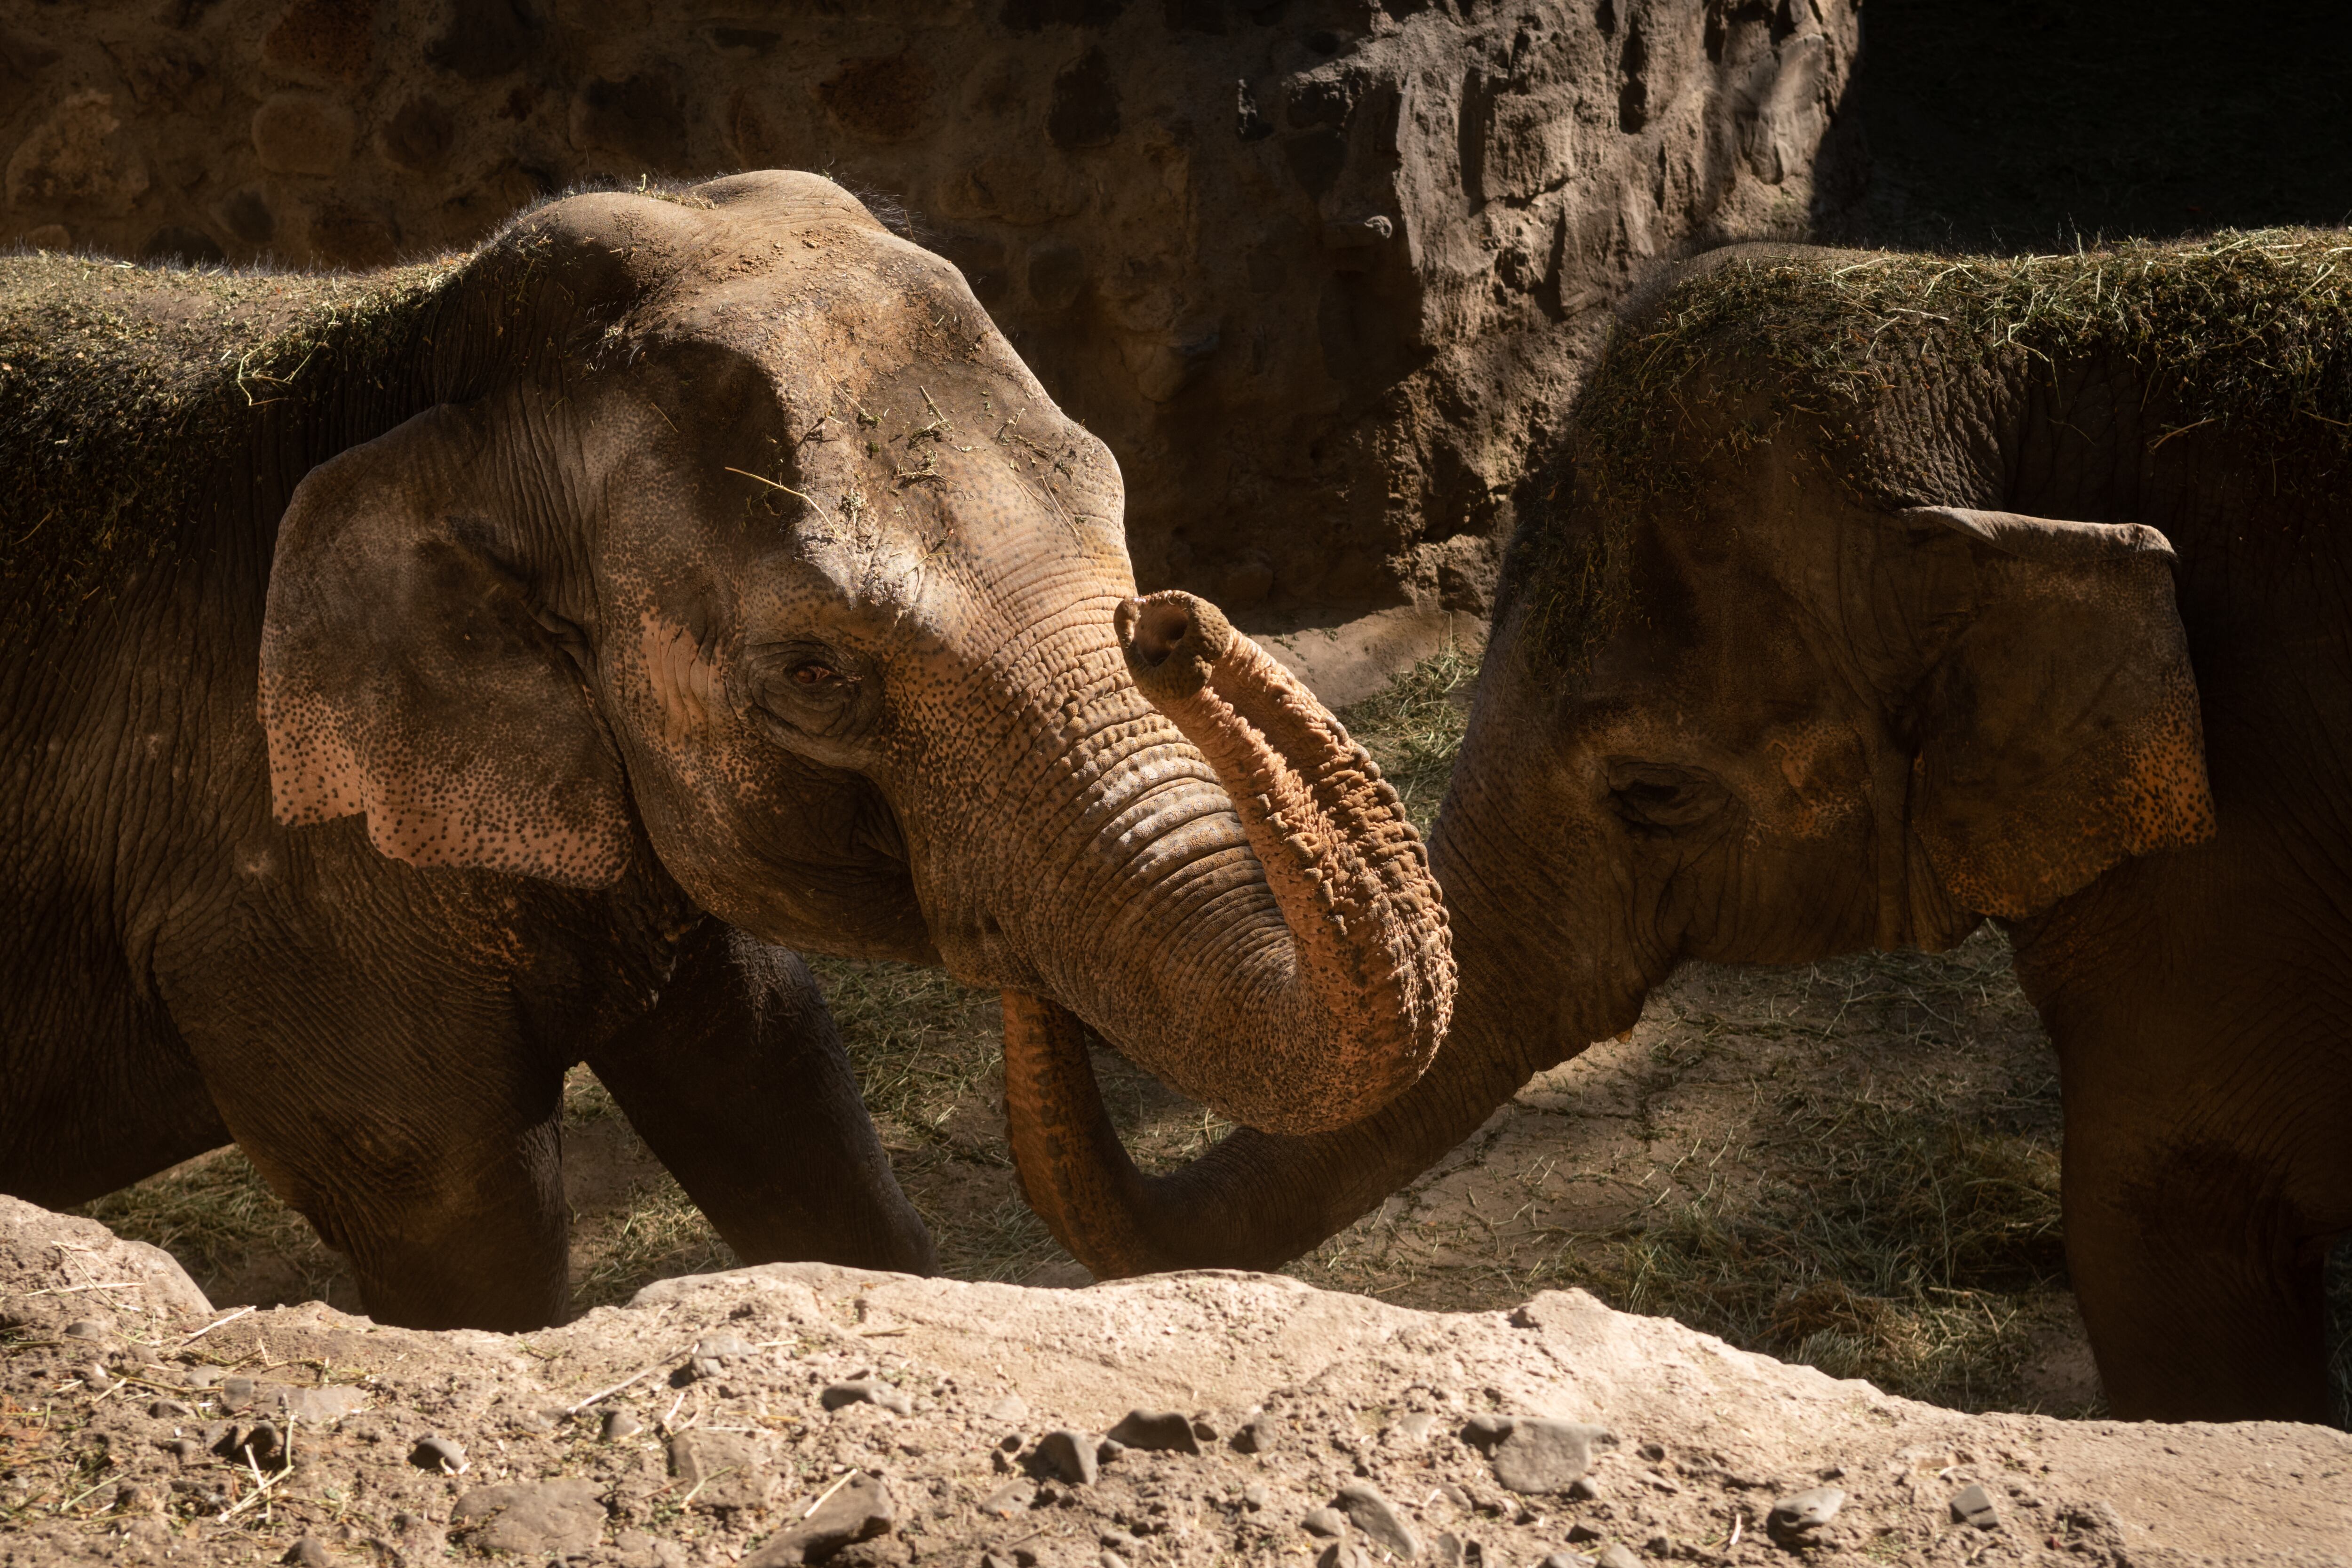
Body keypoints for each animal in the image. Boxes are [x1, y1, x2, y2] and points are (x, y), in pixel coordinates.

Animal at [0, 169, 1449, 1326]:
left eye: (1115, 498)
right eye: (813, 674)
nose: (1168, 627)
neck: (407, 353)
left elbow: (780, 1078)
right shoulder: (278, 901)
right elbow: (462, 1222)